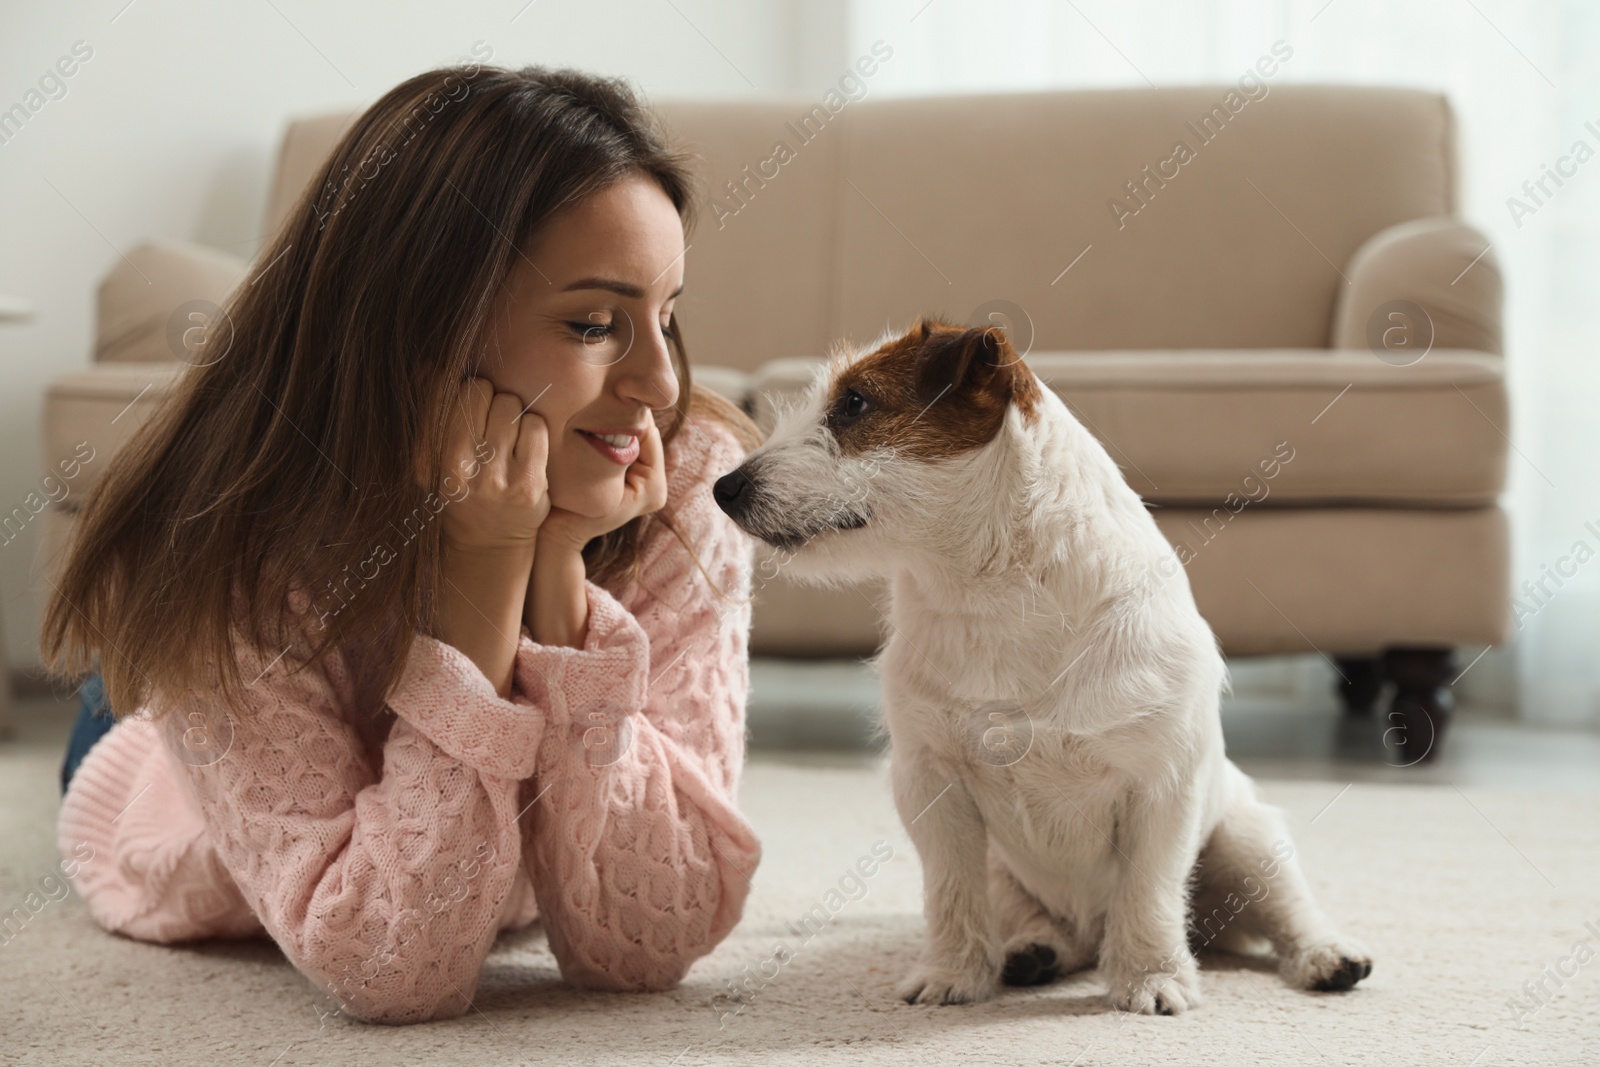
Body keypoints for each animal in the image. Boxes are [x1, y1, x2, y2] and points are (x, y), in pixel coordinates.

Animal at [716, 319, 1376, 1017]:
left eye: (854, 404)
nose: (722, 489)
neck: (991, 594)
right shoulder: (931, 785)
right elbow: (950, 892)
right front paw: (952, 974)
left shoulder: (1162, 787)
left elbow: (1148, 892)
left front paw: (1151, 979)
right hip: (1007, 870)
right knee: (1044, 922)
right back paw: (1034, 950)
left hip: (1248, 839)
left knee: (1287, 911)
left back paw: (1328, 955)